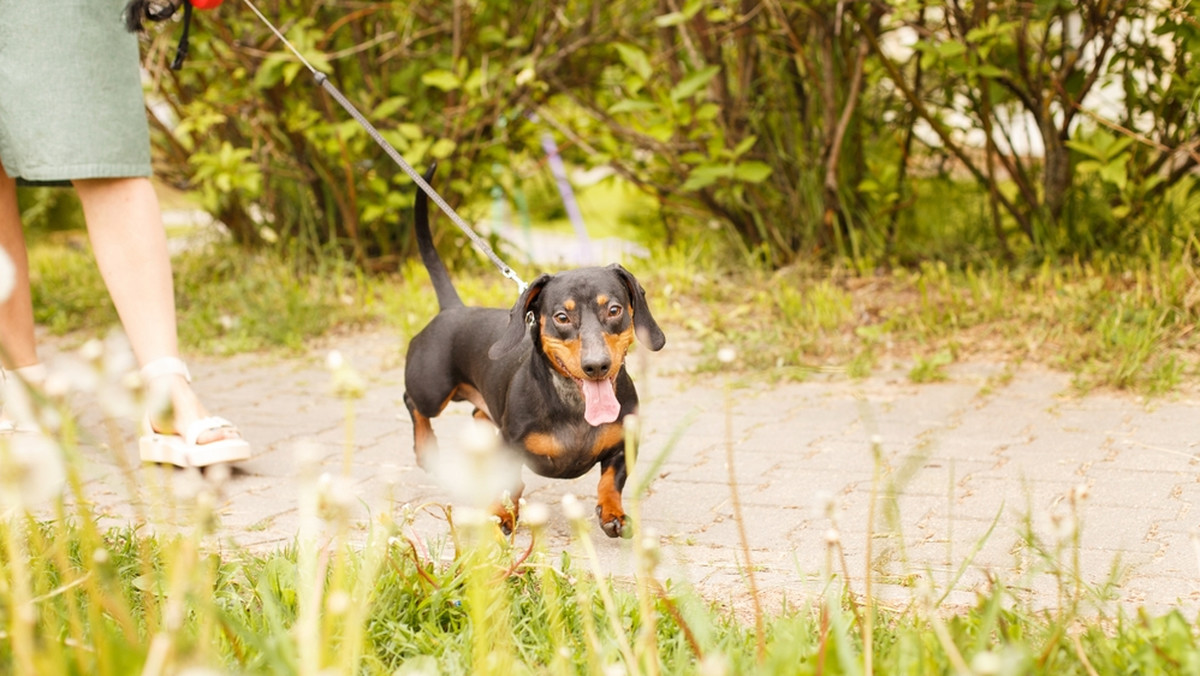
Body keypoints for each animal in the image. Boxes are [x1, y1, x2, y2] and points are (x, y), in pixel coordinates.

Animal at [403, 169, 667, 540]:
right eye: (561, 317)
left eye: (614, 309)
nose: (597, 366)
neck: (574, 406)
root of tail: (452, 308)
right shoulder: (511, 446)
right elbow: (509, 484)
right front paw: (503, 514)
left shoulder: (623, 445)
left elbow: (610, 481)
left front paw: (612, 512)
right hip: (433, 390)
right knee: (414, 404)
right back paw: (426, 448)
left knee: (477, 414)